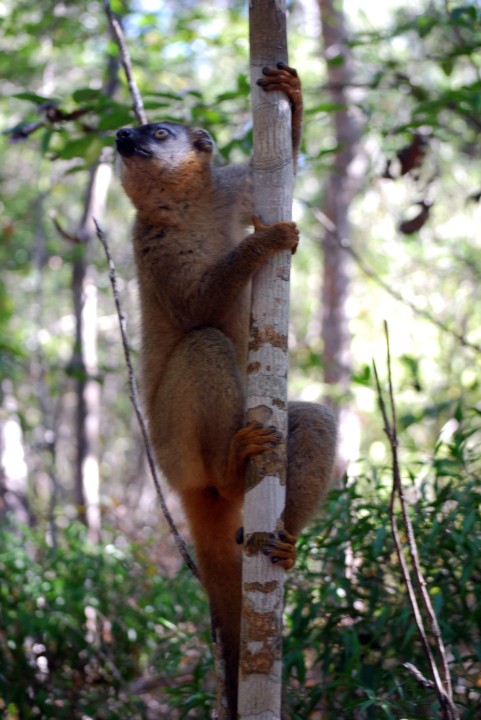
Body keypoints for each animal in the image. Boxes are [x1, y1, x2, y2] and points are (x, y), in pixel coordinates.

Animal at [115, 63, 337, 719]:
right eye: (134, 134)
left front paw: (292, 93)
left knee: (311, 420)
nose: (120, 135)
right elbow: (196, 310)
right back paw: (230, 463)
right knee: (205, 343)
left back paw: (282, 539)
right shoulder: (151, 241)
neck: (185, 203)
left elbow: (281, 163)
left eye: (158, 133)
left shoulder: (230, 189)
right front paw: (261, 246)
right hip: (170, 443)